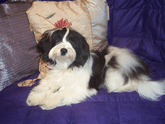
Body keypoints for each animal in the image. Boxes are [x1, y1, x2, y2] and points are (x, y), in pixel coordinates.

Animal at [27, 27, 165, 110]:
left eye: (72, 42)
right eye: (56, 40)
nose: (64, 50)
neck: (67, 65)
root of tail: (142, 66)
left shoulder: (80, 87)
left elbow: (61, 92)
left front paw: (48, 101)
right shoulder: (53, 77)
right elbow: (46, 86)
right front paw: (35, 98)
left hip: (112, 71)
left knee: (133, 83)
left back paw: (120, 89)